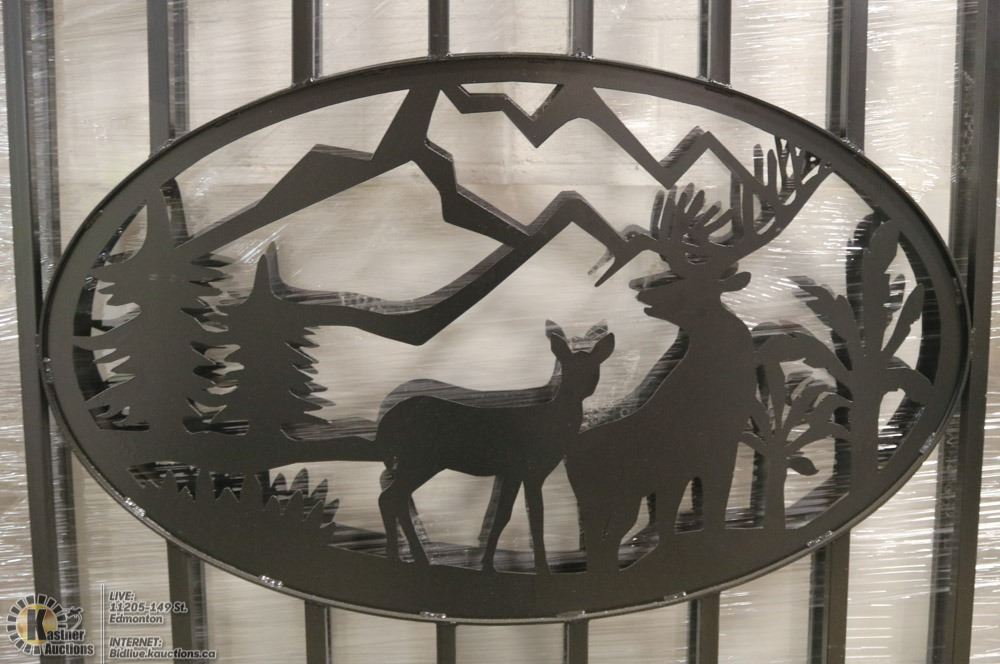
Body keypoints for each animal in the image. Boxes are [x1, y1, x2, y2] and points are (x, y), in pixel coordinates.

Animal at [376, 321, 615, 573]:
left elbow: (501, 516)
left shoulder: (512, 471)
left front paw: (488, 565)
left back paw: (404, 557)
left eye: (593, 367)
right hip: (420, 457)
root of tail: (386, 419)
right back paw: (409, 558)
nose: (578, 389)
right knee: (390, 497)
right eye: (567, 368)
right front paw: (541, 569)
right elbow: (533, 515)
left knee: (393, 497)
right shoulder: (530, 468)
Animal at [567, 139, 830, 574]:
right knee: (601, 541)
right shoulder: (676, 463)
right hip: (601, 495)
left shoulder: (720, 451)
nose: (640, 288)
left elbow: (711, 509)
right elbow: (677, 518)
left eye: (691, 282)